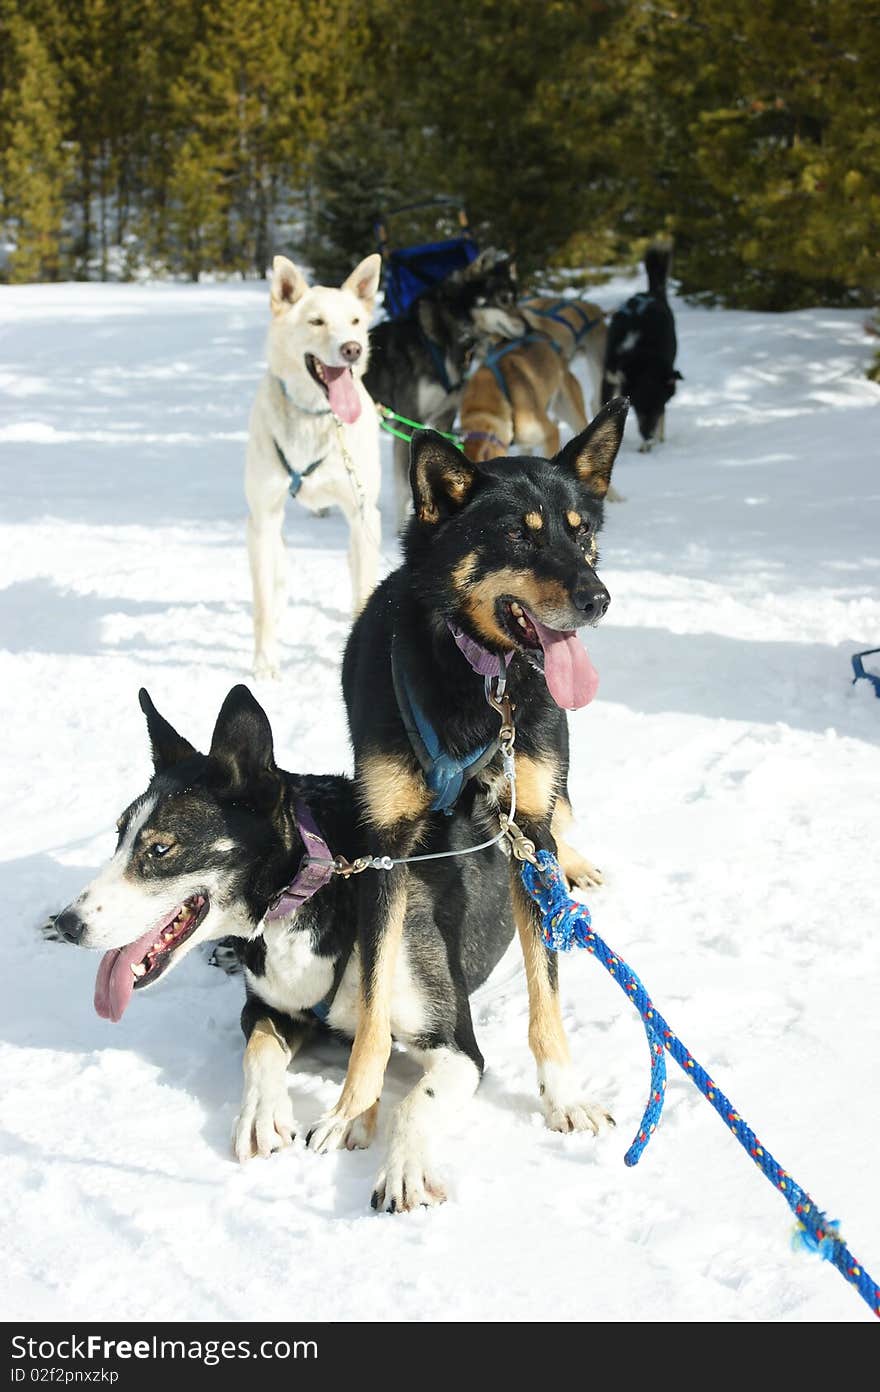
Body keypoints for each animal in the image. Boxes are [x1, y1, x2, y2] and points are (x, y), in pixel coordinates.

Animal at [243, 257, 381, 684]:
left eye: (355, 321)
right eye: (316, 321)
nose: (352, 349)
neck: (315, 417)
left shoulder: (362, 513)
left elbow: (364, 589)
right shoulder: (263, 516)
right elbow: (262, 606)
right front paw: (265, 662)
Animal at [306, 400, 629, 1152]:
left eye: (581, 532)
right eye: (518, 535)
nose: (598, 598)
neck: (482, 684)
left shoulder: (527, 827)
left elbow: (546, 991)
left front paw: (565, 1096)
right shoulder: (385, 849)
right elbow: (372, 1006)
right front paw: (351, 1107)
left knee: (565, 816)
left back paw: (577, 862)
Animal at [362, 247, 523, 528]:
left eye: (516, 298)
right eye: (503, 299)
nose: (528, 327)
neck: (442, 342)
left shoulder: (445, 417)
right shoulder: (407, 423)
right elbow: (404, 488)